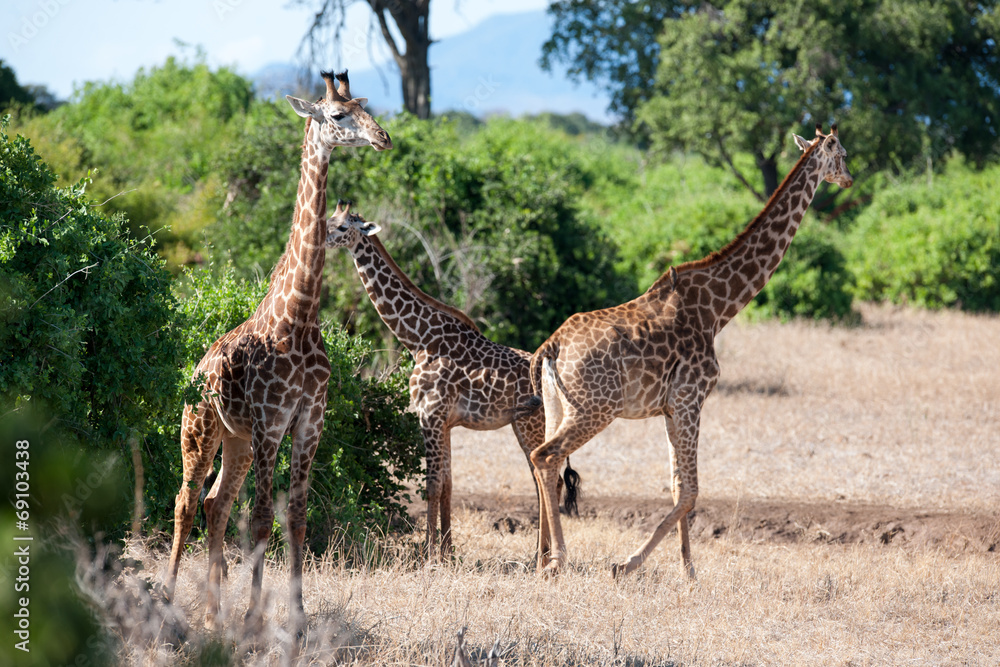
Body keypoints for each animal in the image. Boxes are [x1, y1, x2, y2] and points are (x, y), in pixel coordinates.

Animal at [164, 71, 392, 633]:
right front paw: (254, 618)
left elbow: (297, 515)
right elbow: (264, 517)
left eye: (367, 107)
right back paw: (169, 601)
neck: (300, 318)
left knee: (217, 504)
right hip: (201, 431)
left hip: (236, 440)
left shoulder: (310, 420)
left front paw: (298, 616)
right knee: (186, 500)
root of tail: (195, 371)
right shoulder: (272, 421)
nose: (383, 138)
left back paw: (212, 616)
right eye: (337, 115)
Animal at [324, 202, 578, 561]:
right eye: (329, 219)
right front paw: (445, 550)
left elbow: (431, 485)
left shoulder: (429, 414)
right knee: (546, 480)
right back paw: (538, 556)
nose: (322, 238)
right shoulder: (444, 421)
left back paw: (542, 558)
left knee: (548, 479)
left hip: (530, 425)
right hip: (528, 425)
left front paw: (428, 555)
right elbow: (447, 484)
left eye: (344, 226)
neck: (417, 339)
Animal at [528, 125, 853, 577]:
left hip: (558, 406)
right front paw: (630, 563)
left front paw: (687, 569)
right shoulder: (691, 397)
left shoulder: (670, 406)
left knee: (549, 465)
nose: (850, 180)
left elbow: (677, 486)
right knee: (545, 457)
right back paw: (558, 559)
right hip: (596, 409)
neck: (719, 309)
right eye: (842, 154)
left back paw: (541, 557)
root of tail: (551, 346)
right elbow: (691, 490)